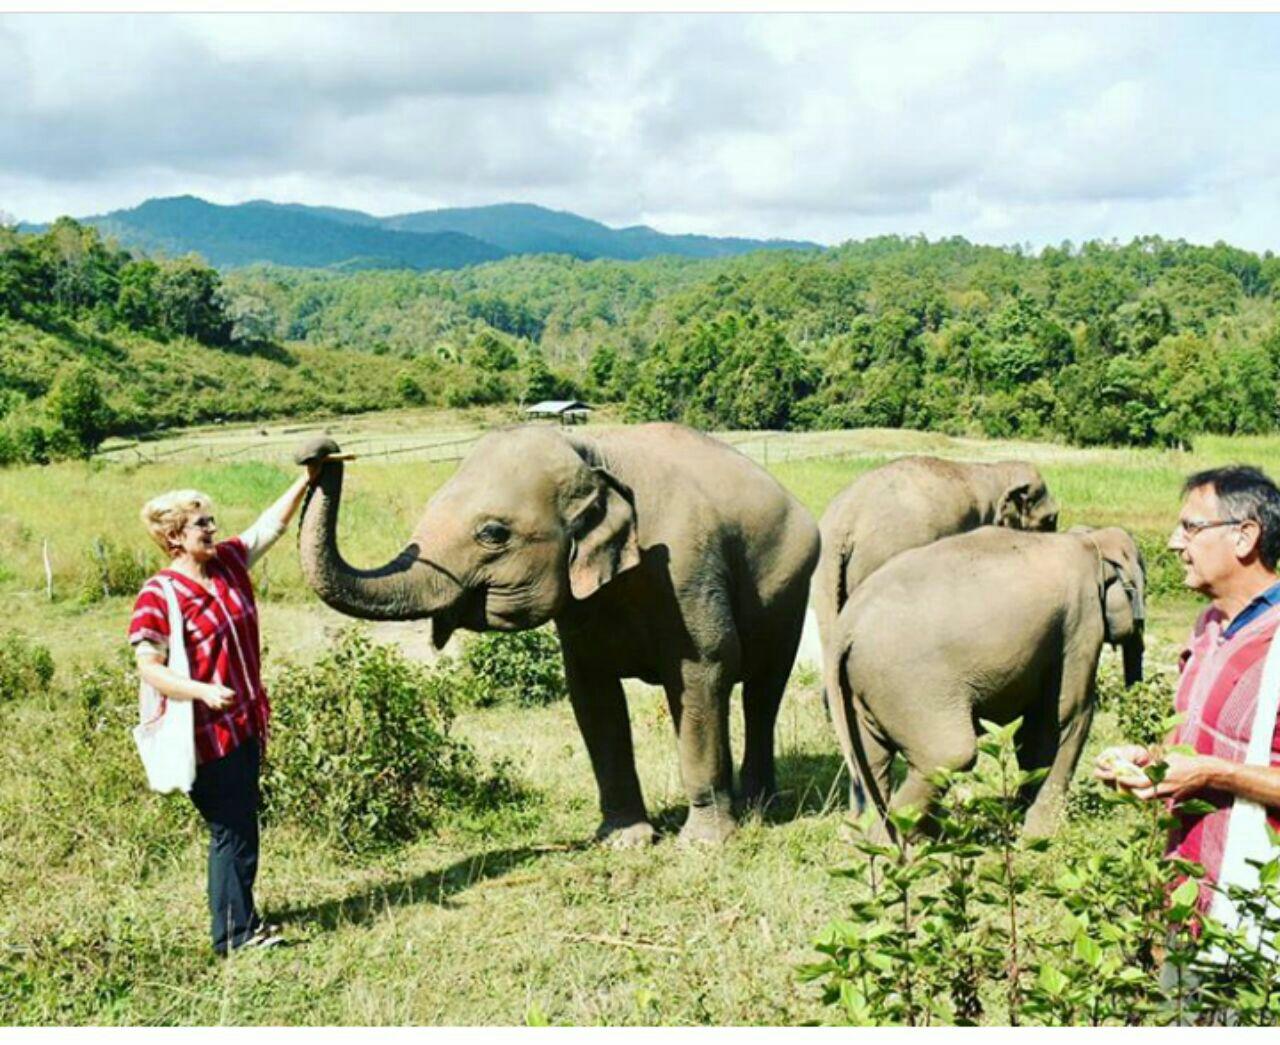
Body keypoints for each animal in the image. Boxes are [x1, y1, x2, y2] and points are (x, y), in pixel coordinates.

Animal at [296, 420, 819, 845]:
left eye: (492, 533)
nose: (318, 453)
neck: (592, 451)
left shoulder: (688, 569)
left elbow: (703, 671)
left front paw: (705, 846)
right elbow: (593, 695)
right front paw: (623, 841)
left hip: (791, 592)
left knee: (762, 693)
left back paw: (757, 806)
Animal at [824, 527, 1146, 834]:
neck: (1087, 540)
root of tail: (846, 627)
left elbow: (1030, 730)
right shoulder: (1080, 622)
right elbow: (1064, 720)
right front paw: (1038, 838)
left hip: (860, 690)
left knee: (873, 761)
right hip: (910, 688)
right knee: (951, 755)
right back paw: (927, 842)